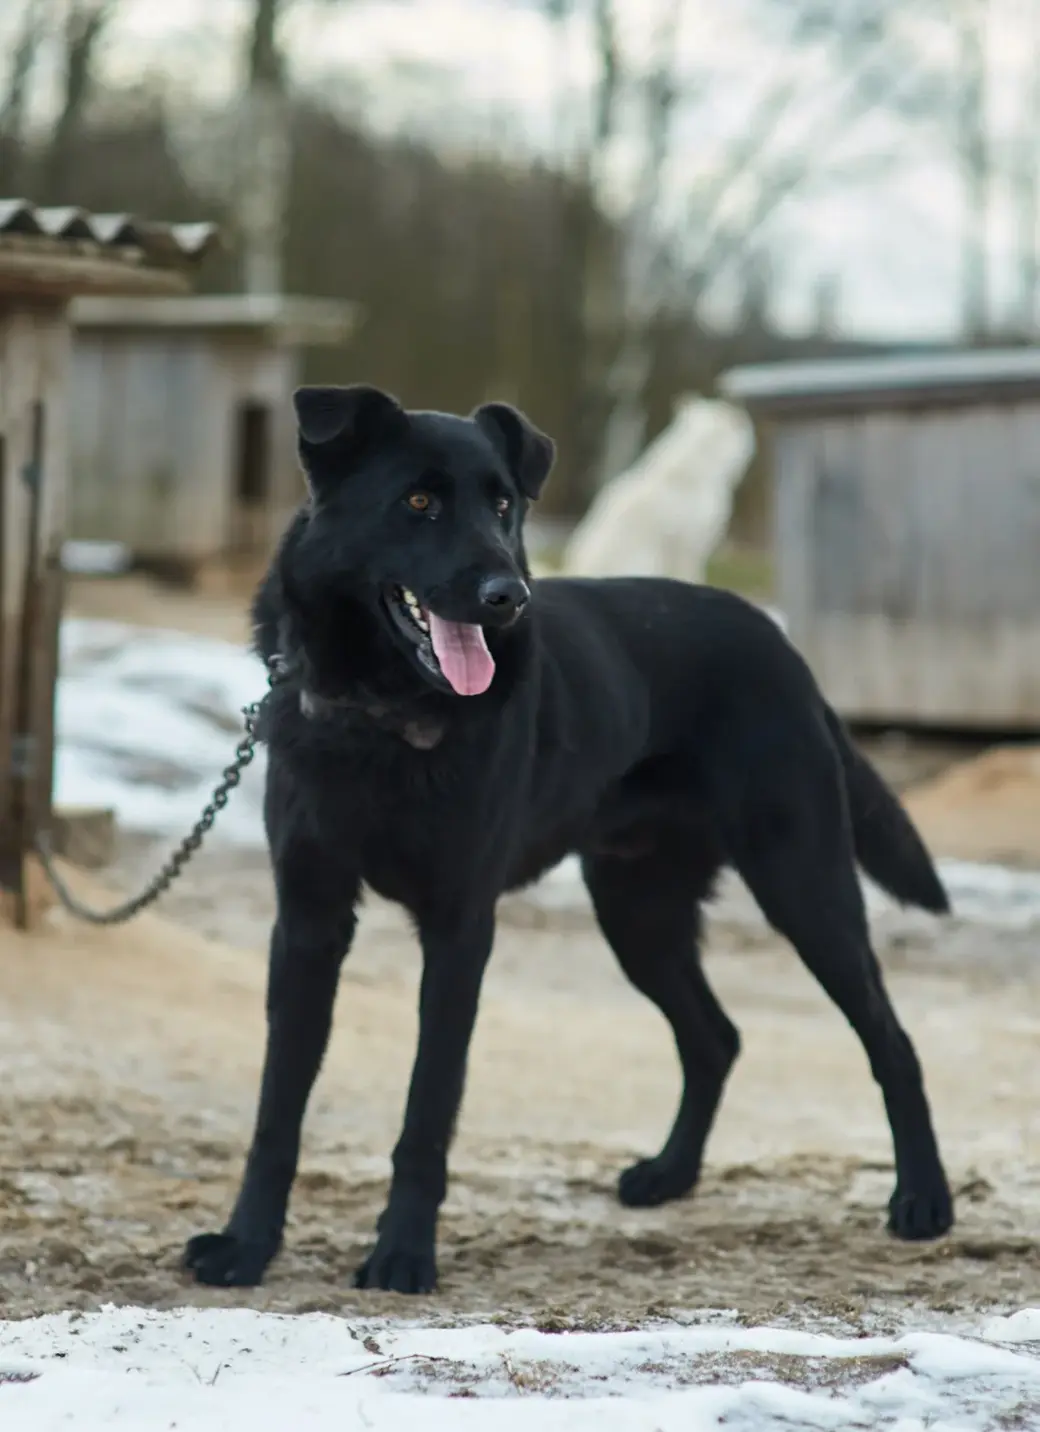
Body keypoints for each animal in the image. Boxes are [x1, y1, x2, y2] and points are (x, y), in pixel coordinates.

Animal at [184, 383, 951, 1300]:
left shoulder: (459, 930)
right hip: (638, 913)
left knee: (892, 1043)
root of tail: (781, 644)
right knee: (715, 1037)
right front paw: (246, 1246)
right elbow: (278, 1106)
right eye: (418, 502)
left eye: (503, 506)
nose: (507, 595)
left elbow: (426, 1109)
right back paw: (669, 1176)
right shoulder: (308, 924)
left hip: (804, 888)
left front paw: (404, 1254)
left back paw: (923, 1201)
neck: (381, 715)